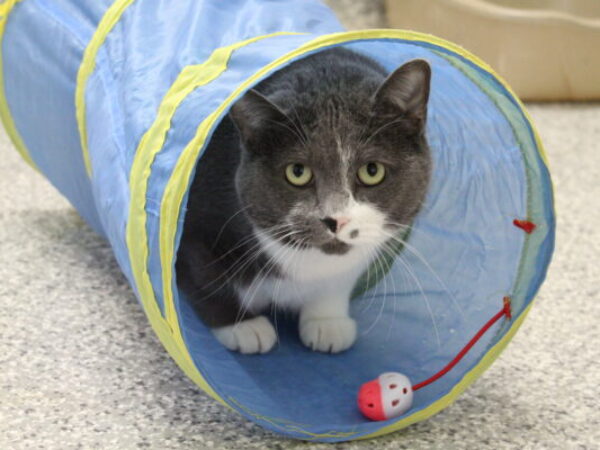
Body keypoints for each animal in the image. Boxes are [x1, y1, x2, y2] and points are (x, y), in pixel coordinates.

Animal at [176, 46, 434, 356]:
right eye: (297, 172)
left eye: (372, 171)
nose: (336, 219)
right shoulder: (196, 228)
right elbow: (205, 278)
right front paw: (242, 326)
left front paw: (327, 322)